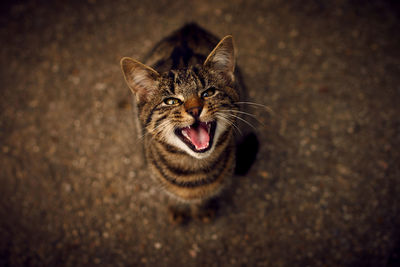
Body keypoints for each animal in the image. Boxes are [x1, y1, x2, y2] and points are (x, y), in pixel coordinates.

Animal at [120, 23, 255, 224]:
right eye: (171, 101)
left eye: (208, 93)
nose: (194, 110)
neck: (194, 170)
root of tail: (189, 27)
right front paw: (177, 207)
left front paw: (203, 208)